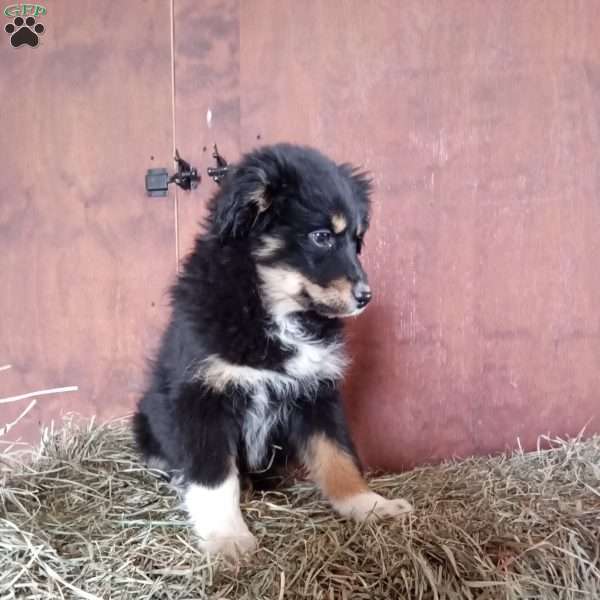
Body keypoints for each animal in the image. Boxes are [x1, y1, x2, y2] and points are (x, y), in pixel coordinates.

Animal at [133, 143, 410, 556]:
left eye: (356, 240)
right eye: (322, 236)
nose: (366, 297)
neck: (276, 313)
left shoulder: (316, 391)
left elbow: (338, 455)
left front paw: (368, 505)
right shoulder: (202, 396)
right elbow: (214, 475)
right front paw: (227, 537)